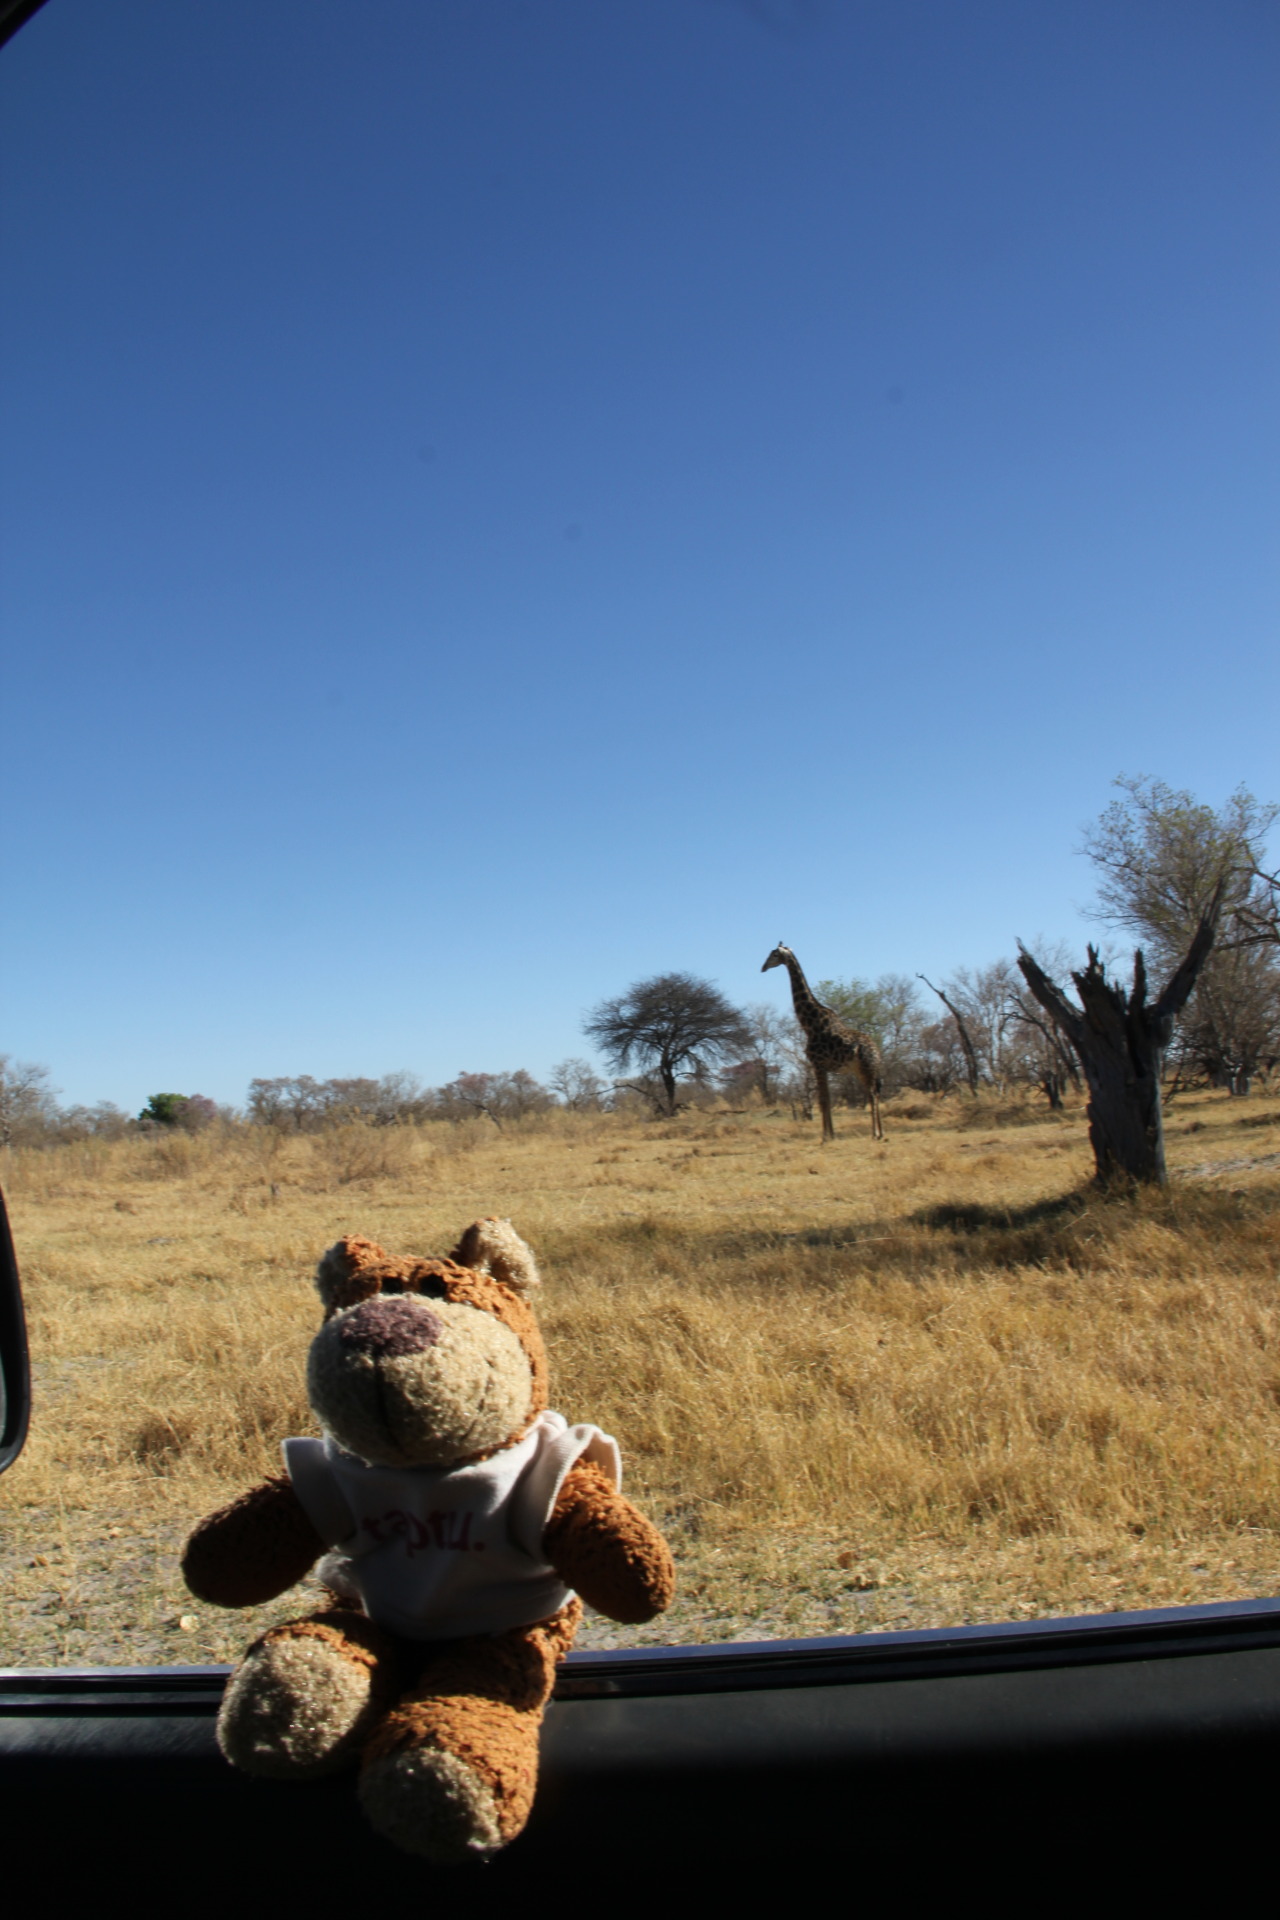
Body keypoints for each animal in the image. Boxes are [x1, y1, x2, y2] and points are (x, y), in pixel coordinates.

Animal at [762, 942, 885, 1143]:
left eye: (774, 955)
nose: (763, 967)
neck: (809, 1024)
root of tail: (878, 1053)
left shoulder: (817, 1064)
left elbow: (822, 1101)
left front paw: (825, 1136)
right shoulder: (823, 1067)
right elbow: (825, 1099)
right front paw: (831, 1134)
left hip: (866, 1068)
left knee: (873, 1095)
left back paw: (876, 1133)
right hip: (862, 1070)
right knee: (873, 1093)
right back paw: (880, 1133)